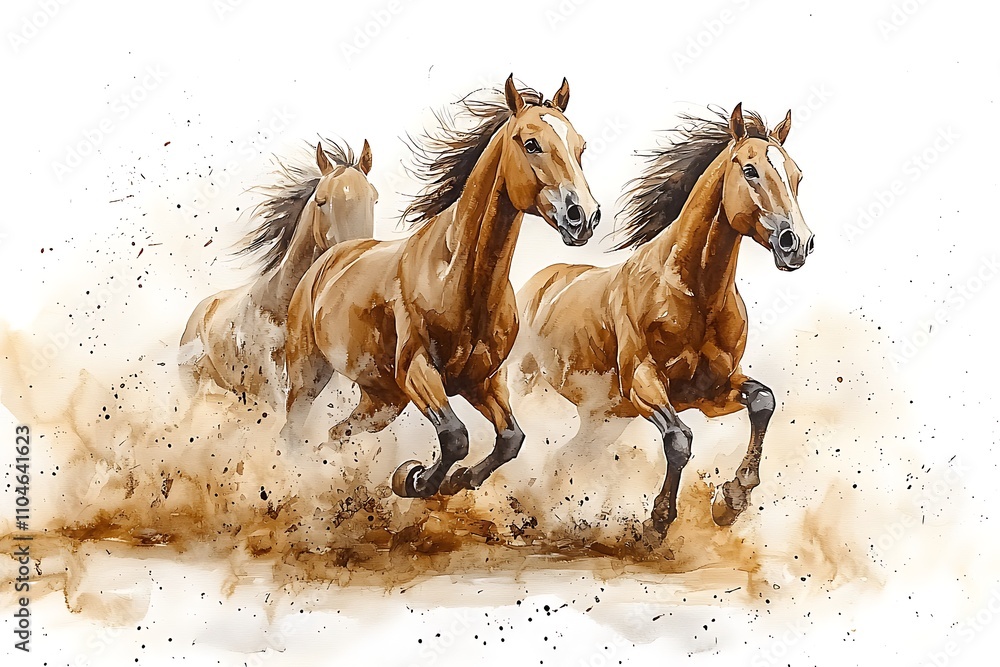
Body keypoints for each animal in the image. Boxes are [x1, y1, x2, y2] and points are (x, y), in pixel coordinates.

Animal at [283, 75, 601, 499]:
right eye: (530, 143)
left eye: (581, 145)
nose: (583, 216)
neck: (459, 281)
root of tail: (330, 258)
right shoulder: (416, 371)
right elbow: (455, 436)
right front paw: (415, 478)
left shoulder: (482, 382)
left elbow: (511, 438)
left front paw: (459, 479)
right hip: (308, 376)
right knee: (292, 432)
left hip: (382, 400)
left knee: (336, 434)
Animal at [514, 104, 814, 537]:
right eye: (750, 169)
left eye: (796, 175)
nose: (798, 243)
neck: (694, 294)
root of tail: (534, 285)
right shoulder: (643, 382)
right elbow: (679, 439)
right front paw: (657, 522)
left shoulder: (711, 392)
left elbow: (763, 400)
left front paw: (731, 500)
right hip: (525, 385)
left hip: (603, 420)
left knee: (564, 459)